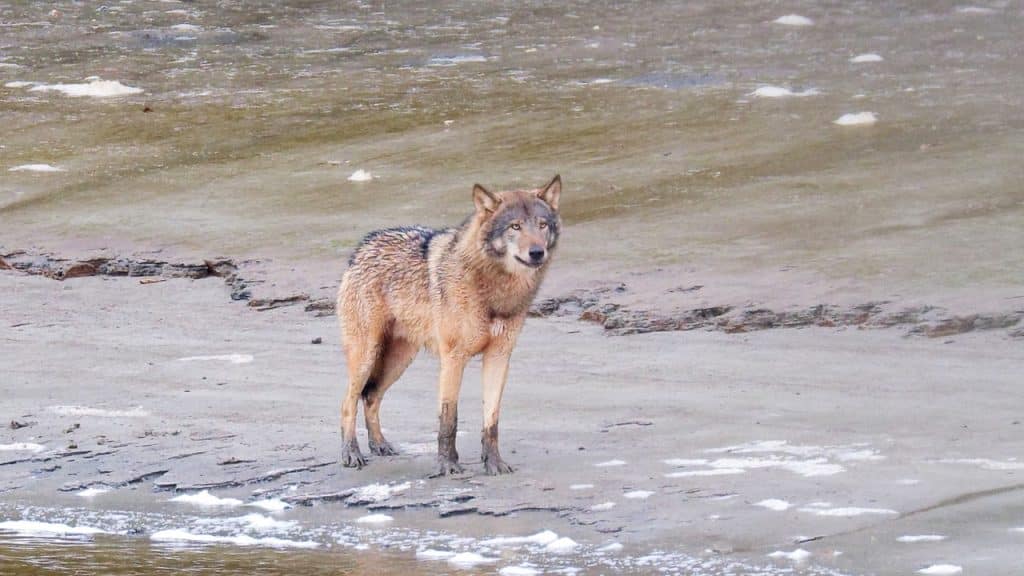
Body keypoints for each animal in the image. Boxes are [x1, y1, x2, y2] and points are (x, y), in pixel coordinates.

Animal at [336, 175, 562, 475]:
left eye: (542, 224)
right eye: (515, 227)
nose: (537, 252)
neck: (492, 288)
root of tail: (362, 247)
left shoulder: (499, 357)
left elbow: (491, 420)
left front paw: (494, 464)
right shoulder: (453, 358)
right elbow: (449, 419)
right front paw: (447, 466)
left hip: (399, 360)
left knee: (371, 396)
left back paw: (380, 445)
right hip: (366, 356)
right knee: (348, 402)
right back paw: (351, 453)